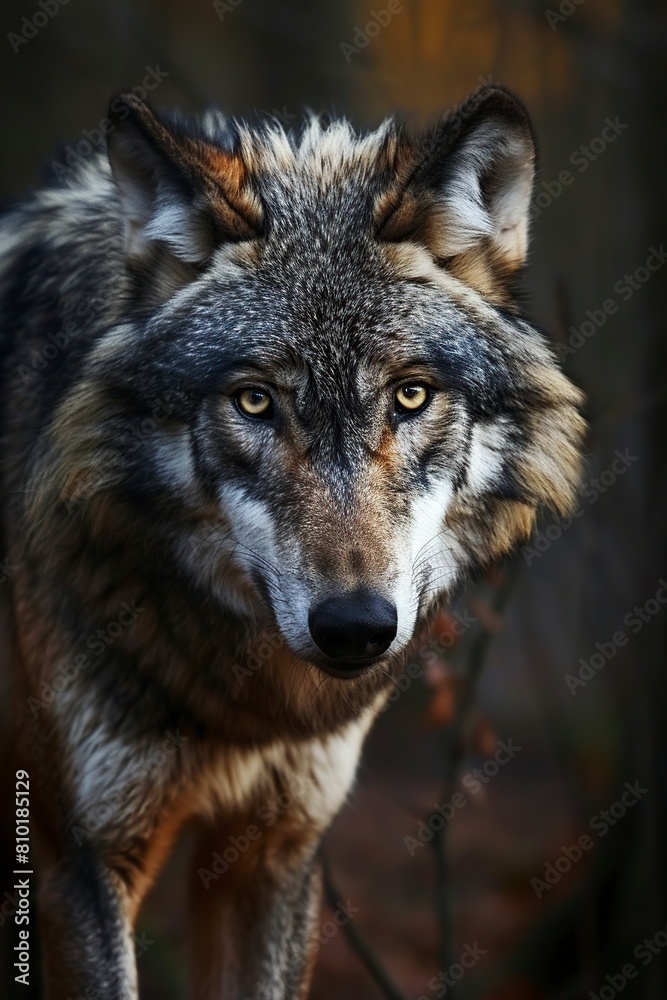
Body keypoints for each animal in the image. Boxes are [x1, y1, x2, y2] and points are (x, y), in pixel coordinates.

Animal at [0, 84, 584, 999]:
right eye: (254, 401)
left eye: (411, 395)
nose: (355, 627)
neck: (236, 708)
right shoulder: (74, 866)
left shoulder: (276, 852)